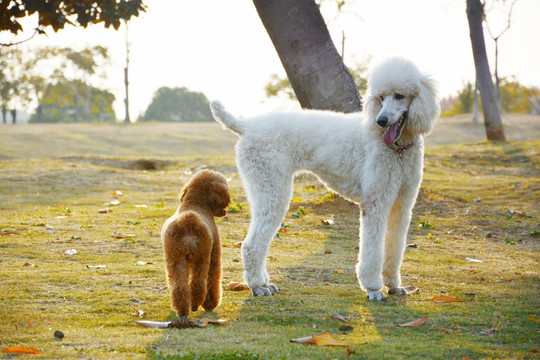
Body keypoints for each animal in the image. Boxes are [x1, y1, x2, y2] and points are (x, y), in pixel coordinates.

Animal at [159, 169, 229, 318]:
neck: (194, 204)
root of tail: (188, 221)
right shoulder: (214, 254)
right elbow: (213, 279)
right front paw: (210, 305)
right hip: (202, 256)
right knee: (200, 283)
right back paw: (197, 305)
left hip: (175, 257)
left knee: (179, 286)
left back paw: (182, 310)